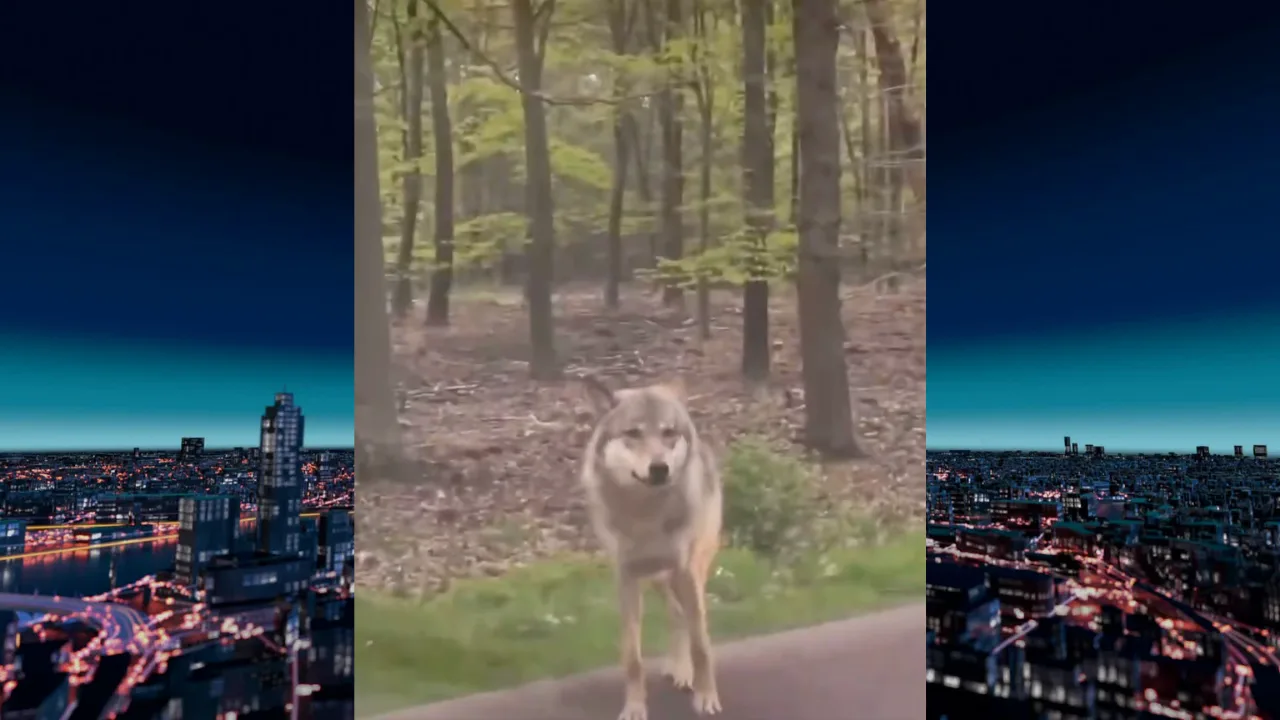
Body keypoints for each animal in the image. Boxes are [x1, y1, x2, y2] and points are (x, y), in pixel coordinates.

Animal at [579, 375, 724, 720]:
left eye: (669, 432)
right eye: (633, 433)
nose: (660, 468)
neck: (647, 515)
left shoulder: (685, 571)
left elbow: (701, 645)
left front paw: (706, 698)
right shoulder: (627, 579)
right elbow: (633, 658)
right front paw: (634, 708)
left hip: (688, 573)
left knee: (684, 616)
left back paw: (685, 672)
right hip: (660, 579)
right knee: (674, 613)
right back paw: (680, 668)